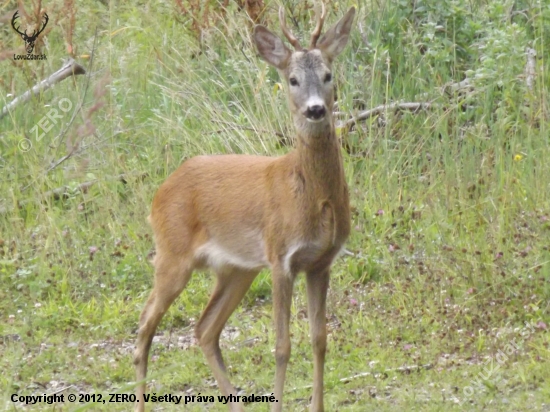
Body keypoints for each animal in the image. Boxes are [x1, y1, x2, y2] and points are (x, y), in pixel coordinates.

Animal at [136, 4, 356, 412]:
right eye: (292, 79)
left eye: (328, 74)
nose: (316, 110)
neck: (307, 194)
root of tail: (160, 190)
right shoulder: (281, 257)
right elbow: (282, 346)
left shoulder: (321, 262)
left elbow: (319, 339)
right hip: (172, 255)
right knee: (145, 324)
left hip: (236, 269)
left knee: (205, 329)